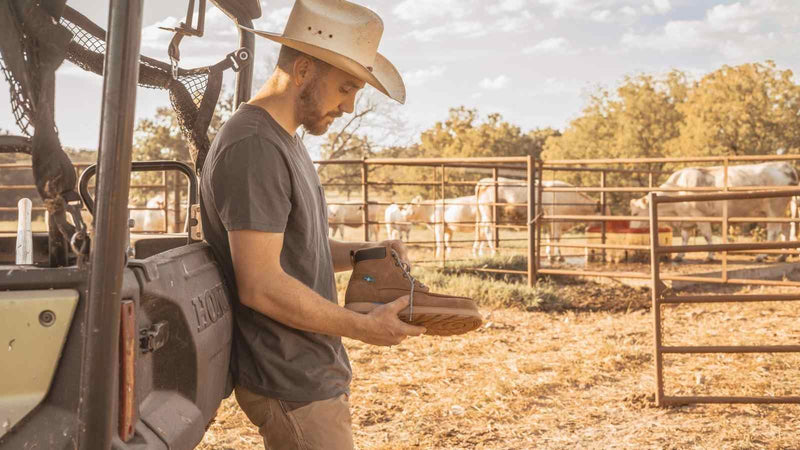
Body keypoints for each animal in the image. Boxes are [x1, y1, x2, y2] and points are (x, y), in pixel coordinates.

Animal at [632, 162, 792, 262]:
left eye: (635, 213)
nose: (632, 229)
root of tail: (785, 166)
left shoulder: (700, 216)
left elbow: (707, 235)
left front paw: (710, 255)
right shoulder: (686, 220)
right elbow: (685, 238)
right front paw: (680, 255)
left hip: (774, 210)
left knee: (774, 232)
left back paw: (761, 255)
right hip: (780, 211)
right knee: (786, 228)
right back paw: (782, 256)